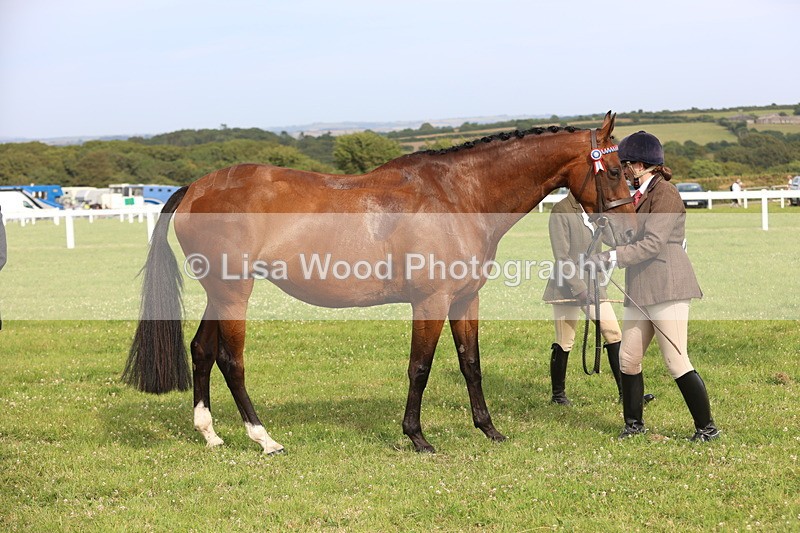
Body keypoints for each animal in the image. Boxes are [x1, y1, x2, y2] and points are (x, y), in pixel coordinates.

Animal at [123, 111, 636, 454]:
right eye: (615, 171)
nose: (628, 231)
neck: (457, 195)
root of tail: (195, 188)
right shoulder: (430, 302)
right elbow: (420, 367)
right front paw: (417, 437)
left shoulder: (465, 300)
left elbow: (471, 363)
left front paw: (489, 429)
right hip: (234, 293)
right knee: (231, 360)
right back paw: (263, 438)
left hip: (218, 293)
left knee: (201, 351)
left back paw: (210, 434)